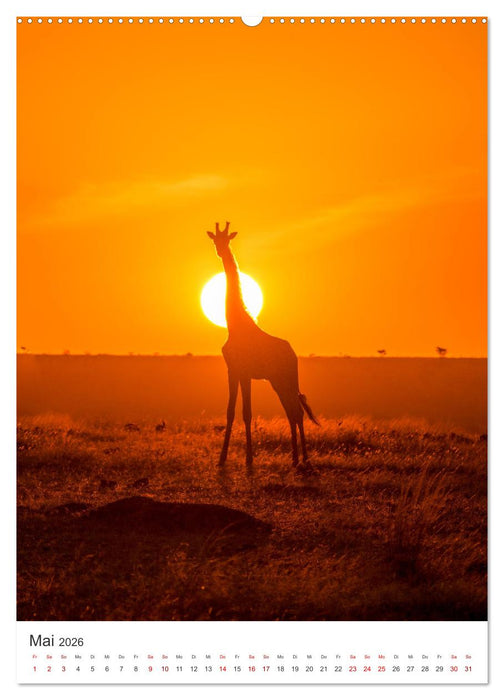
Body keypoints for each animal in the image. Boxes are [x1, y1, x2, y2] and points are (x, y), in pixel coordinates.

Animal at [206, 222, 319, 468]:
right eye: (214, 239)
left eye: (227, 239)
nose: (220, 251)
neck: (235, 325)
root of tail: (293, 355)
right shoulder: (233, 371)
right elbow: (230, 412)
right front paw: (222, 459)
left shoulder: (245, 373)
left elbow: (247, 412)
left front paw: (249, 459)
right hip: (278, 381)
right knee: (293, 411)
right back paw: (296, 458)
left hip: (286, 379)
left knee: (296, 411)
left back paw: (303, 458)